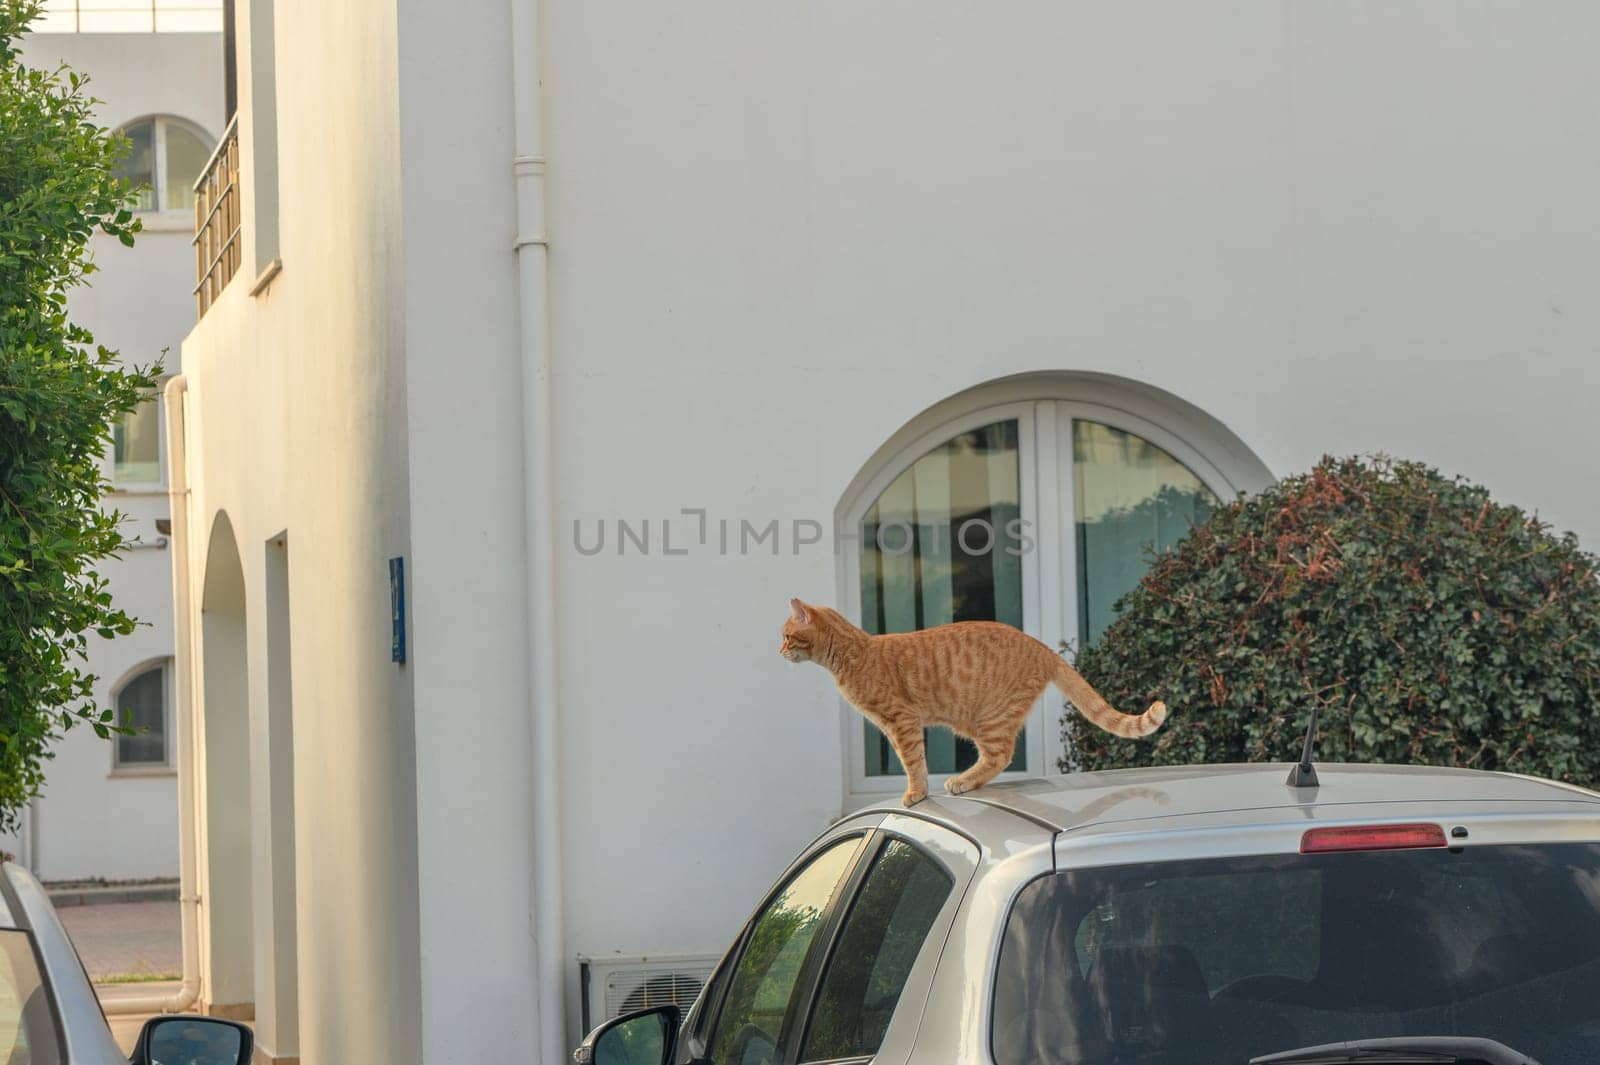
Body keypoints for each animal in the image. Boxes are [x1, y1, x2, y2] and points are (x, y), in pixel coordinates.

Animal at [780, 598, 1171, 805]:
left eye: (785, 636)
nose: (779, 650)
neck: (854, 652)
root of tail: (1040, 646)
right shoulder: (897, 726)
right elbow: (914, 760)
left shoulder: (902, 721)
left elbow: (912, 761)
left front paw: (916, 793)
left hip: (988, 719)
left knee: (1001, 755)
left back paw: (962, 781)